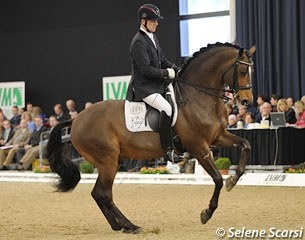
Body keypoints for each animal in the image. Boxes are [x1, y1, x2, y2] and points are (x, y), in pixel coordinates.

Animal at [47, 42, 254, 233]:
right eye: (243, 70)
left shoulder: (218, 136)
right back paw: (130, 225)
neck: (198, 97)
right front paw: (207, 213)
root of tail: (76, 120)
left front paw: (233, 180)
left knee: (99, 194)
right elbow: (217, 179)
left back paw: (120, 226)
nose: (247, 101)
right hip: (108, 160)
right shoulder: (198, 146)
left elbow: (246, 145)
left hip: (108, 161)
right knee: (103, 194)